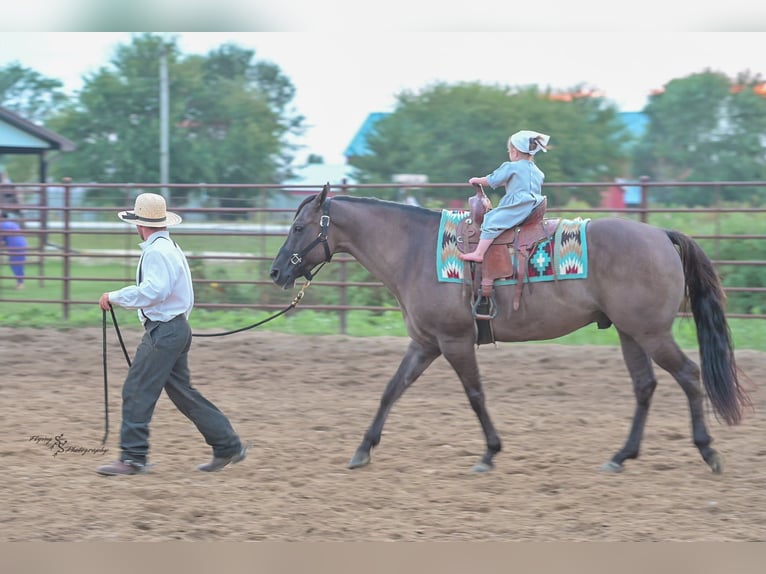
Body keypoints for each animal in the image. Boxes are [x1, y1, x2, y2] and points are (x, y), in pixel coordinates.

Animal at [269, 184, 752, 474]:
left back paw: (708, 451)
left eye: (297, 226)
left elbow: (475, 394)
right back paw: (620, 456)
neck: (415, 250)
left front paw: (489, 453)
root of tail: (660, 235)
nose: (275, 272)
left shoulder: (455, 341)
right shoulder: (425, 344)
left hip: (651, 333)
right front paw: (363, 449)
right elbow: (392, 390)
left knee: (689, 375)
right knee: (645, 386)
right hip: (630, 333)